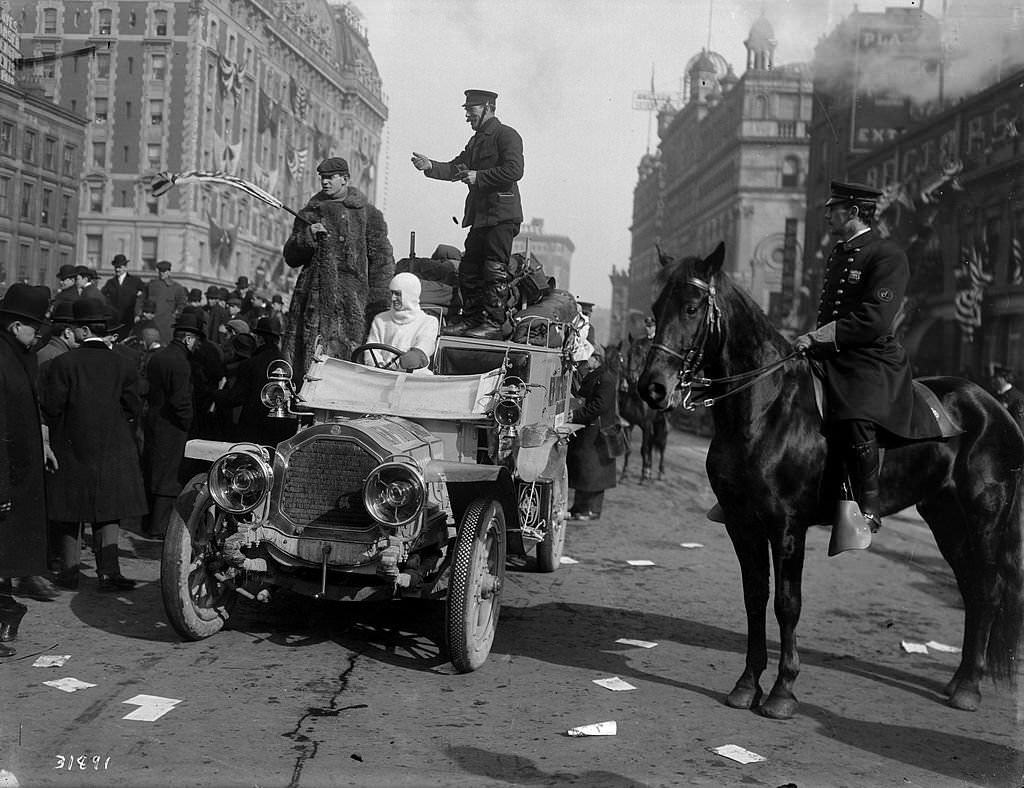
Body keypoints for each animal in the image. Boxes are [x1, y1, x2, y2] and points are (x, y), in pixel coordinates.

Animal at [606, 335, 671, 483]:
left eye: (642, 355)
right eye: (628, 354)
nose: (632, 378)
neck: (636, 397)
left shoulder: (646, 425)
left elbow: (644, 449)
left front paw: (642, 476)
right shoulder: (629, 424)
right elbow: (630, 449)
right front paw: (624, 474)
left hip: (661, 423)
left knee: (661, 444)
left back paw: (660, 472)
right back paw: (649, 470)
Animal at [638, 242, 1024, 716]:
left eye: (692, 307)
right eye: (656, 307)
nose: (652, 387)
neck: (766, 409)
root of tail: (996, 408)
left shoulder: (788, 526)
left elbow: (787, 604)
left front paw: (783, 690)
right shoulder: (742, 524)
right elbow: (754, 598)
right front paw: (747, 684)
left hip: (984, 517)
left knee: (987, 588)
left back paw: (969, 687)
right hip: (945, 517)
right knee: (970, 587)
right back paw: (959, 680)